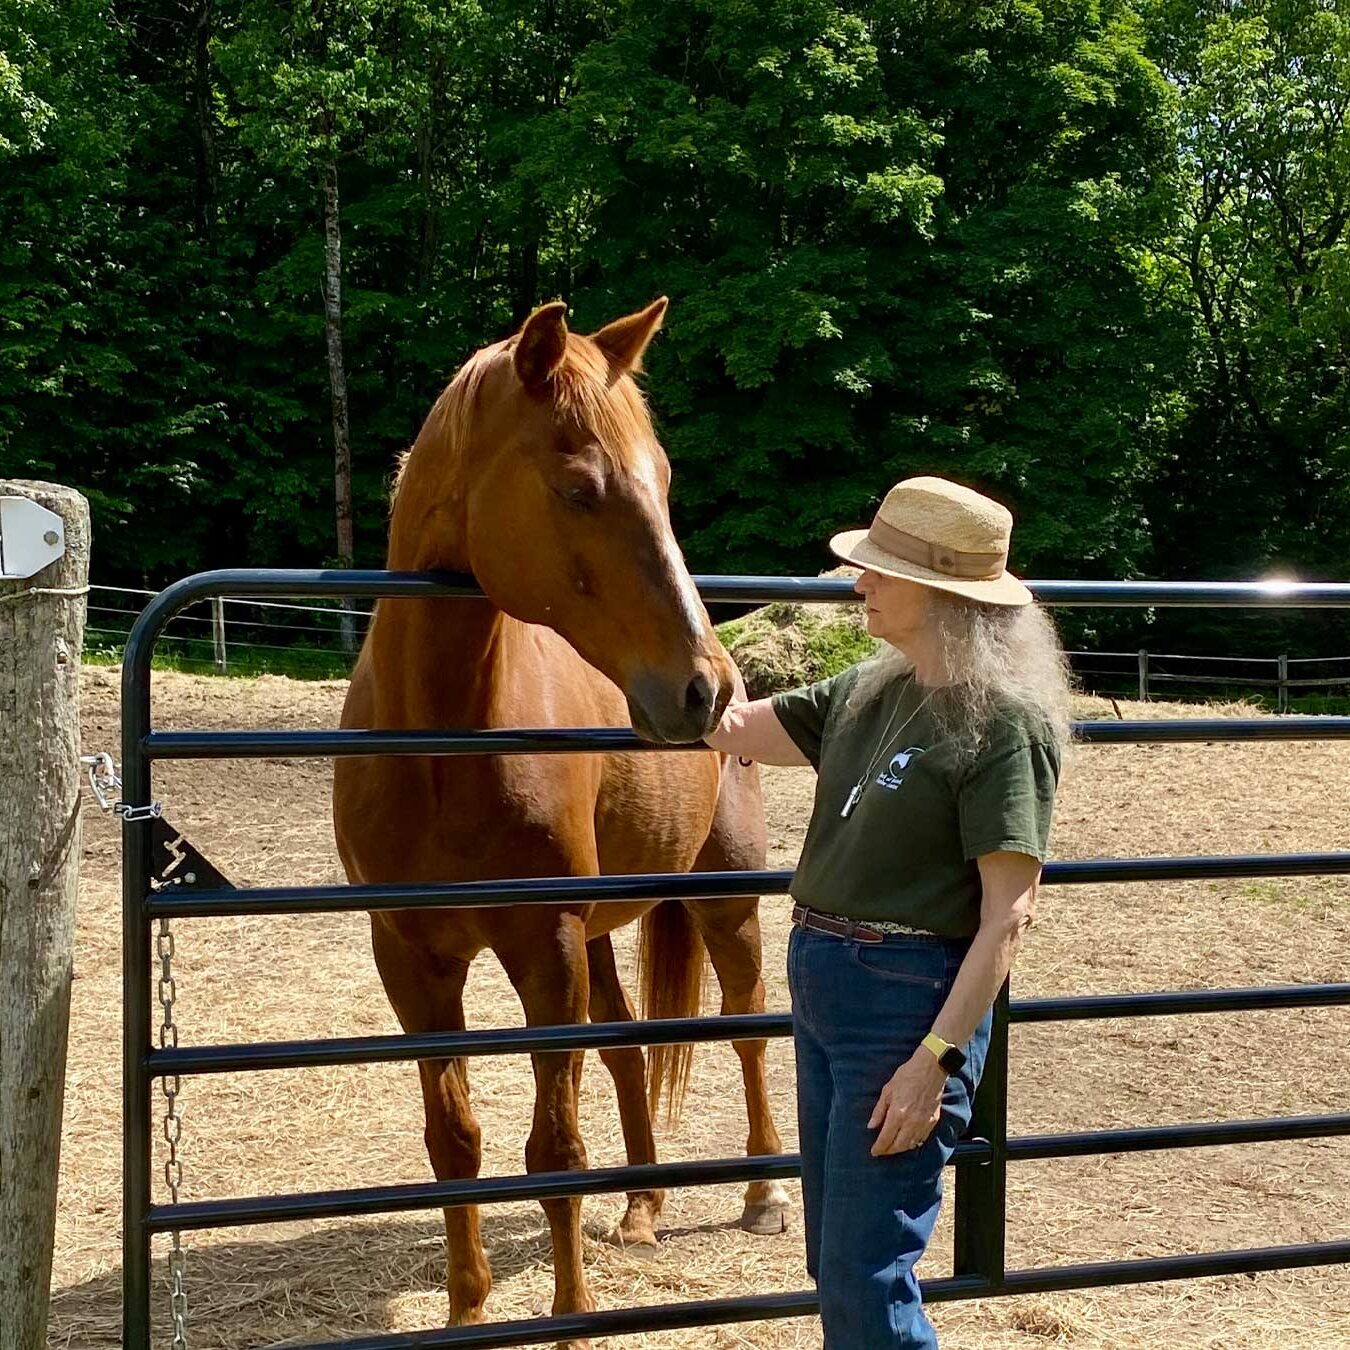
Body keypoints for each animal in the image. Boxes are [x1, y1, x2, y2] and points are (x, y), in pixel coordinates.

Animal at [332, 297, 789, 1343]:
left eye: (663, 481)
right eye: (581, 488)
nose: (701, 689)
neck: (441, 747)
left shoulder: (545, 946)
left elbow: (555, 1147)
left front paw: (573, 1316)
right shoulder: (412, 959)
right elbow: (454, 1141)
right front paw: (467, 1309)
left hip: (725, 902)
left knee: (746, 1029)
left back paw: (762, 1195)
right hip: (605, 931)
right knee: (626, 1051)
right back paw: (643, 1208)